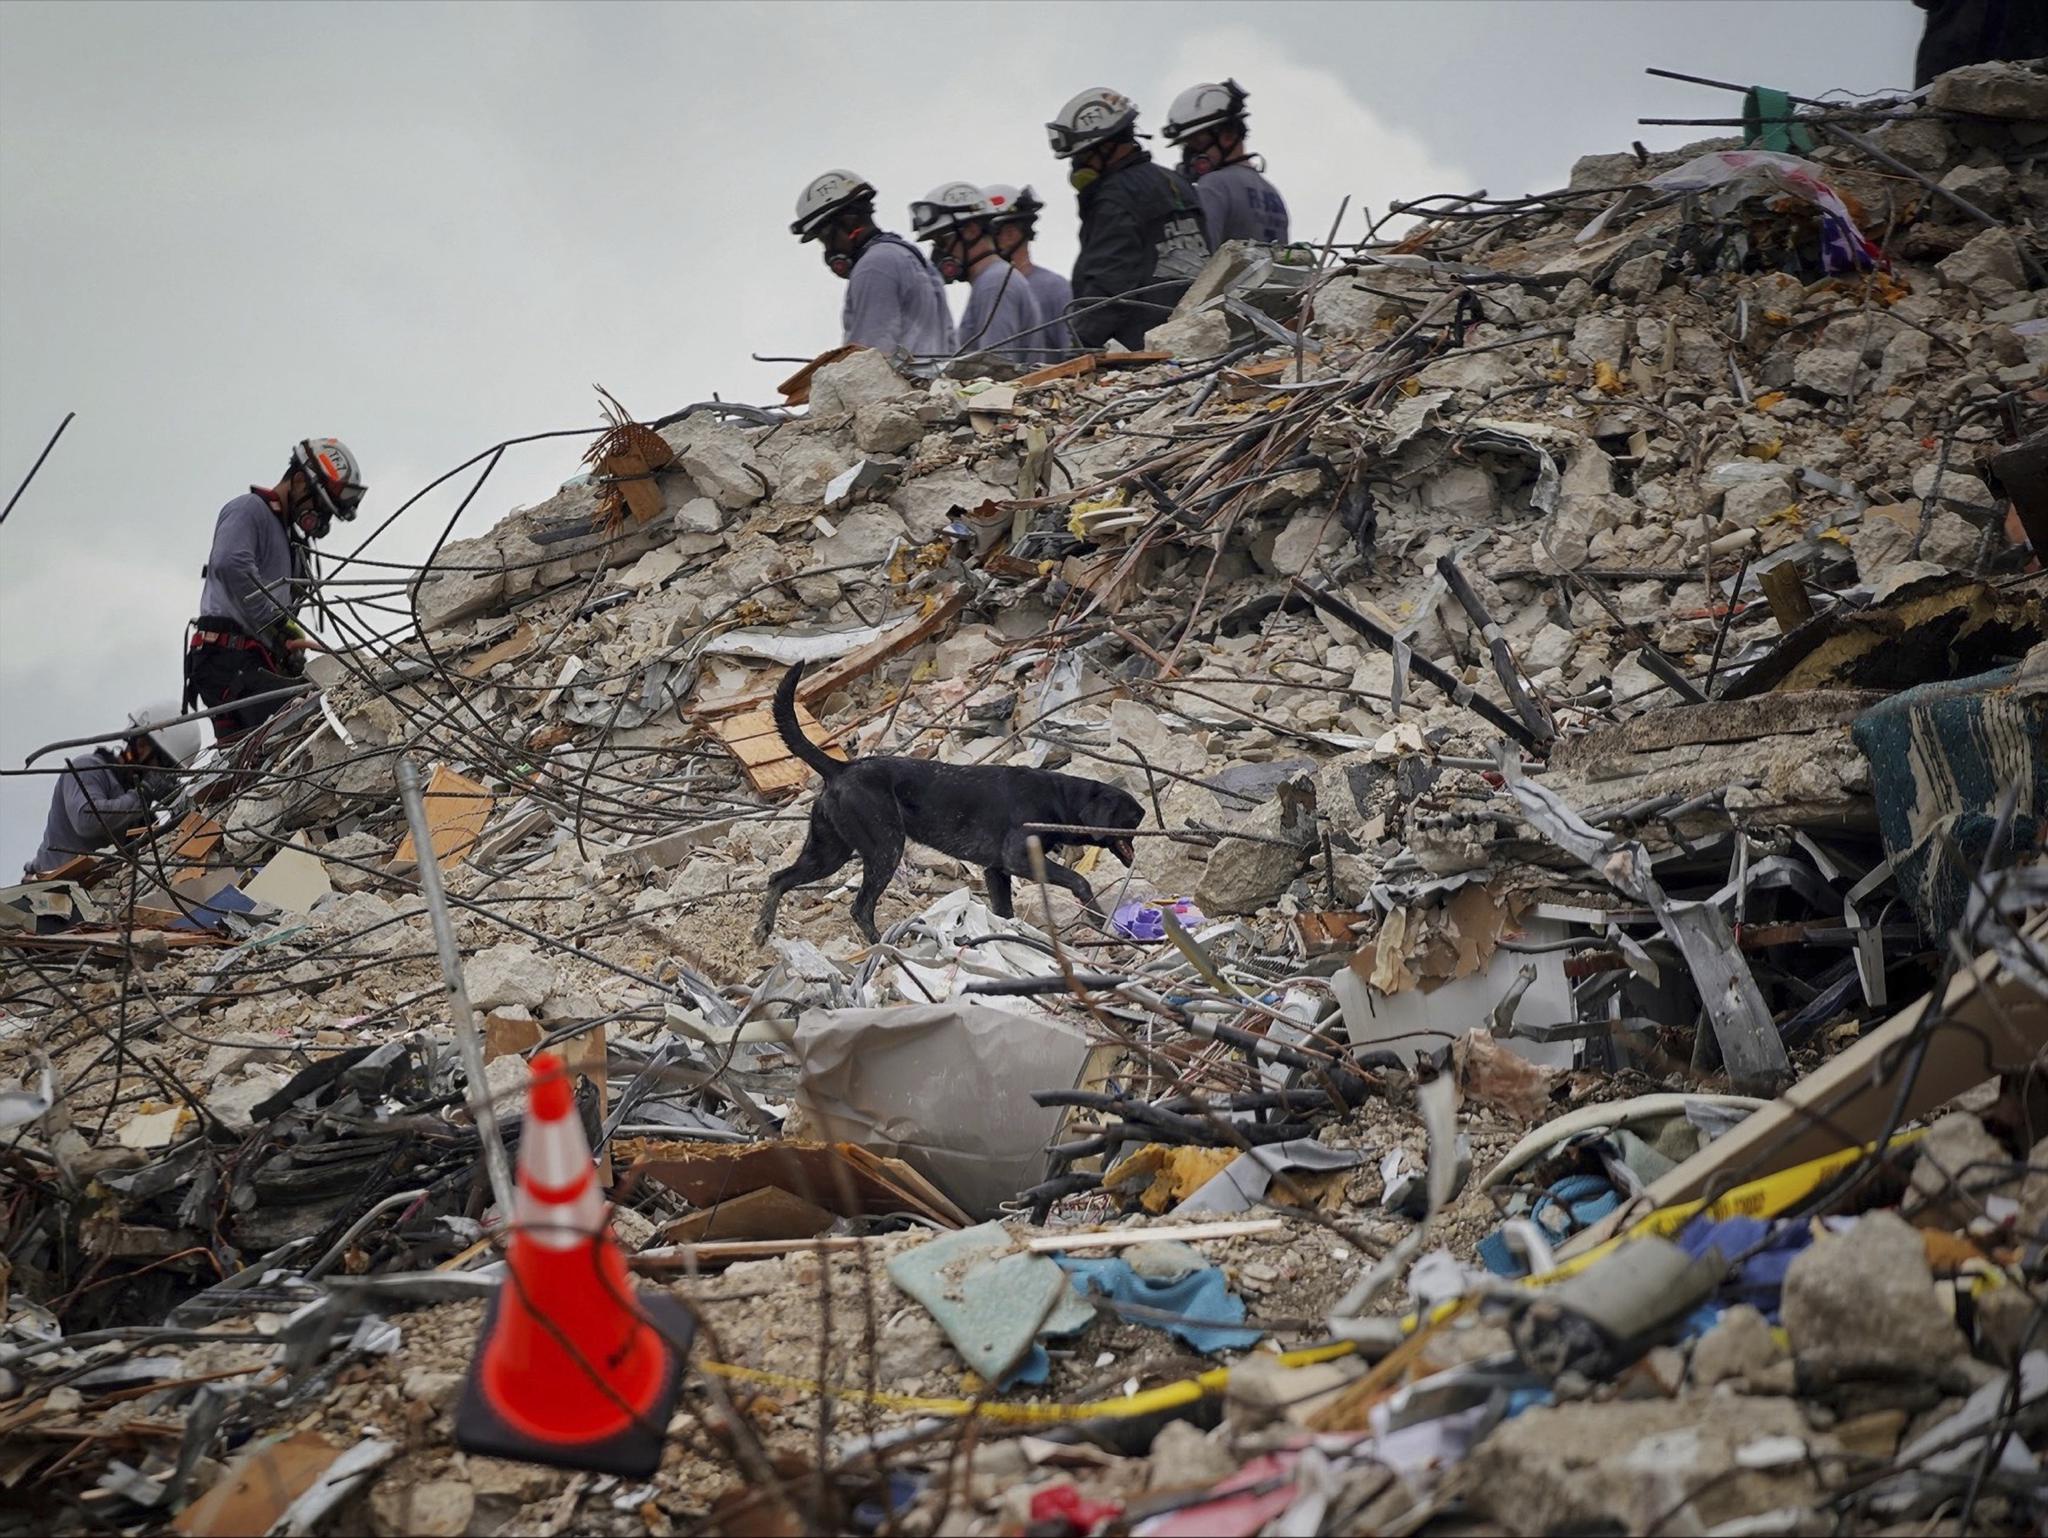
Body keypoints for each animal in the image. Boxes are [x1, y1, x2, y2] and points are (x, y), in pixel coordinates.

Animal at [753, 663, 1146, 950]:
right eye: (1133, 818)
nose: (1145, 822)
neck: (1058, 797)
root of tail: (841, 767)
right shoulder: (1019, 859)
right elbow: (1079, 881)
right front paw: (1097, 919)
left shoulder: (996, 871)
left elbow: (1004, 910)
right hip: (884, 851)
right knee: (860, 908)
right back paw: (883, 945)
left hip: (828, 852)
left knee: (778, 878)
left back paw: (763, 928)